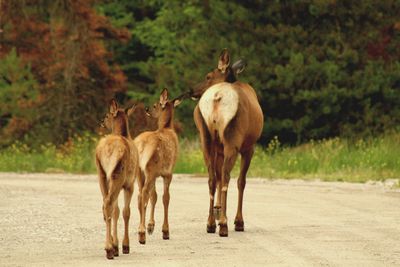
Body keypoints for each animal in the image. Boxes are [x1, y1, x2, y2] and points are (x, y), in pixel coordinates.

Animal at [96, 100, 140, 260]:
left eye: (107, 115)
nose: (102, 121)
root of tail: (109, 151)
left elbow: (116, 211)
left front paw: (116, 245)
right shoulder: (130, 183)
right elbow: (126, 212)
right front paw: (124, 246)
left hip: (102, 175)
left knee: (105, 204)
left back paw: (109, 247)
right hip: (118, 175)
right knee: (109, 203)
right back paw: (109, 249)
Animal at [134, 88, 183, 245]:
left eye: (155, 105)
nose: (147, 109)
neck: (167, 128)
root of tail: (141, 145)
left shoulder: (157, 174)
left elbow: (154, 196)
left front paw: (151, 226)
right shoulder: (168, 172)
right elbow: (165, 198)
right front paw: (165, 231)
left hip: (140, 171)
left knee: (140, 195)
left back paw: (141, 229)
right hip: (150, 168)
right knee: (144, 193)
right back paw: (141, 233)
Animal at [190, 49, 264, 237]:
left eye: (208, 76)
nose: (192, 90)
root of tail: (217, 96)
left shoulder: (219, 147)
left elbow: (216, 178)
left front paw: (217, 212)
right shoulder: (249, 147)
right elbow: (241, 182)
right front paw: (238, 221)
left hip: (206, 139)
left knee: (212, 178)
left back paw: (210, 223)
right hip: (233, 139)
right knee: (226, 177)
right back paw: (223, 224)